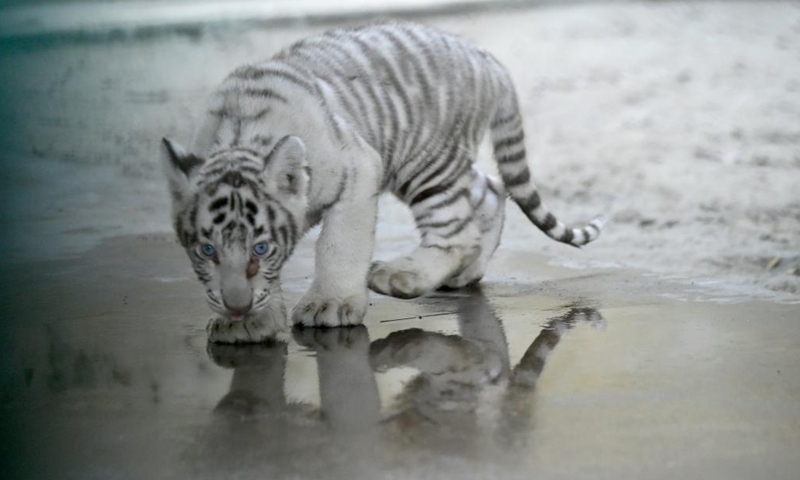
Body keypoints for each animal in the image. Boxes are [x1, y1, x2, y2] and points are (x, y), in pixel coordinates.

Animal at [161, 21, 604, 343]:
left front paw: (330, 305)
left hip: (425, 164)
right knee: (491, 191)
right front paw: (251, 323)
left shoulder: (358, 167)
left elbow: (339, 245)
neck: (240, 136)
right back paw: (465, 274)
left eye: (261, 247)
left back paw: (404, 277)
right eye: (206, 250)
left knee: (455, 232)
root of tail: (486, 57)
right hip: (443, 164)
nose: (237, 307)